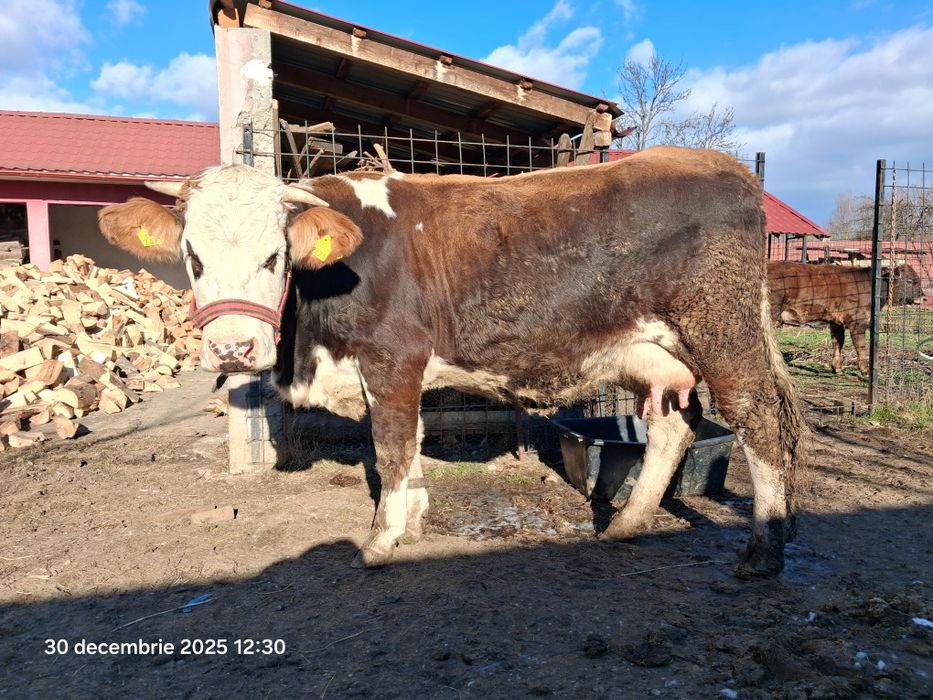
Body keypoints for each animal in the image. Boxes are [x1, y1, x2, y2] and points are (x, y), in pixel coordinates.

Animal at [98, 146, 807, 579]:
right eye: (191, 256)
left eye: (276, 256)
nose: (232, 348)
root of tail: (725, 166)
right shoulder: (399, 371)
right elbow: (409, 444)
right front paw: (410, 521)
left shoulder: (392, 358)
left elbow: (389, 448)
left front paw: (379, 542)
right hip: (654, 353)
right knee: (673, 426)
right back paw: (627, 524)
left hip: (723, 333)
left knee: (760, 425)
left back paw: (763, 551)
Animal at [768, 261, 923, 374]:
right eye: (909, 281)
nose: (923, 297)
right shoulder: (858, 322)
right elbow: (860, 346)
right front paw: (865, 370)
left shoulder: (836, 322)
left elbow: (837, 343)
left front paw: (837, 368)